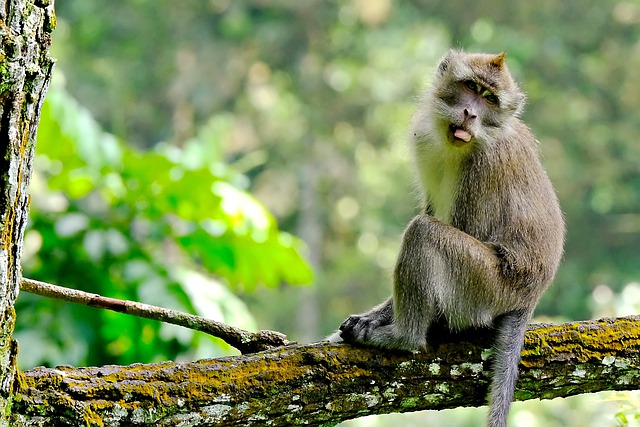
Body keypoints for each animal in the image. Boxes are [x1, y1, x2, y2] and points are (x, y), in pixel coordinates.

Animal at [327, 50, 565, 427]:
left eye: (489, 99)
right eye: (470, 87)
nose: (470, 113)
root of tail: (529, 297)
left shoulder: (485, 165)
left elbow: (467, 229)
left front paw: (384, 322)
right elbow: (431, 208)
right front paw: (374, 315)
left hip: (486, 287)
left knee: (422, 233)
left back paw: (403, 337)